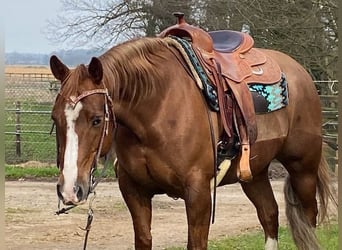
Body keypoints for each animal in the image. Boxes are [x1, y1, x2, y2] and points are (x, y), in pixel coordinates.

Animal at [50, 36, 334, 249]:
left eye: (97, 119)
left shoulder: (198, 192)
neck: (156, 107)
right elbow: (144, 239)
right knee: (270, 216)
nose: (70, 190)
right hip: (254, 174)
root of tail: (300, 73)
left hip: (303, 169)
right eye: (55, 118)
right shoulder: (134, 190)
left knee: (308, 219)